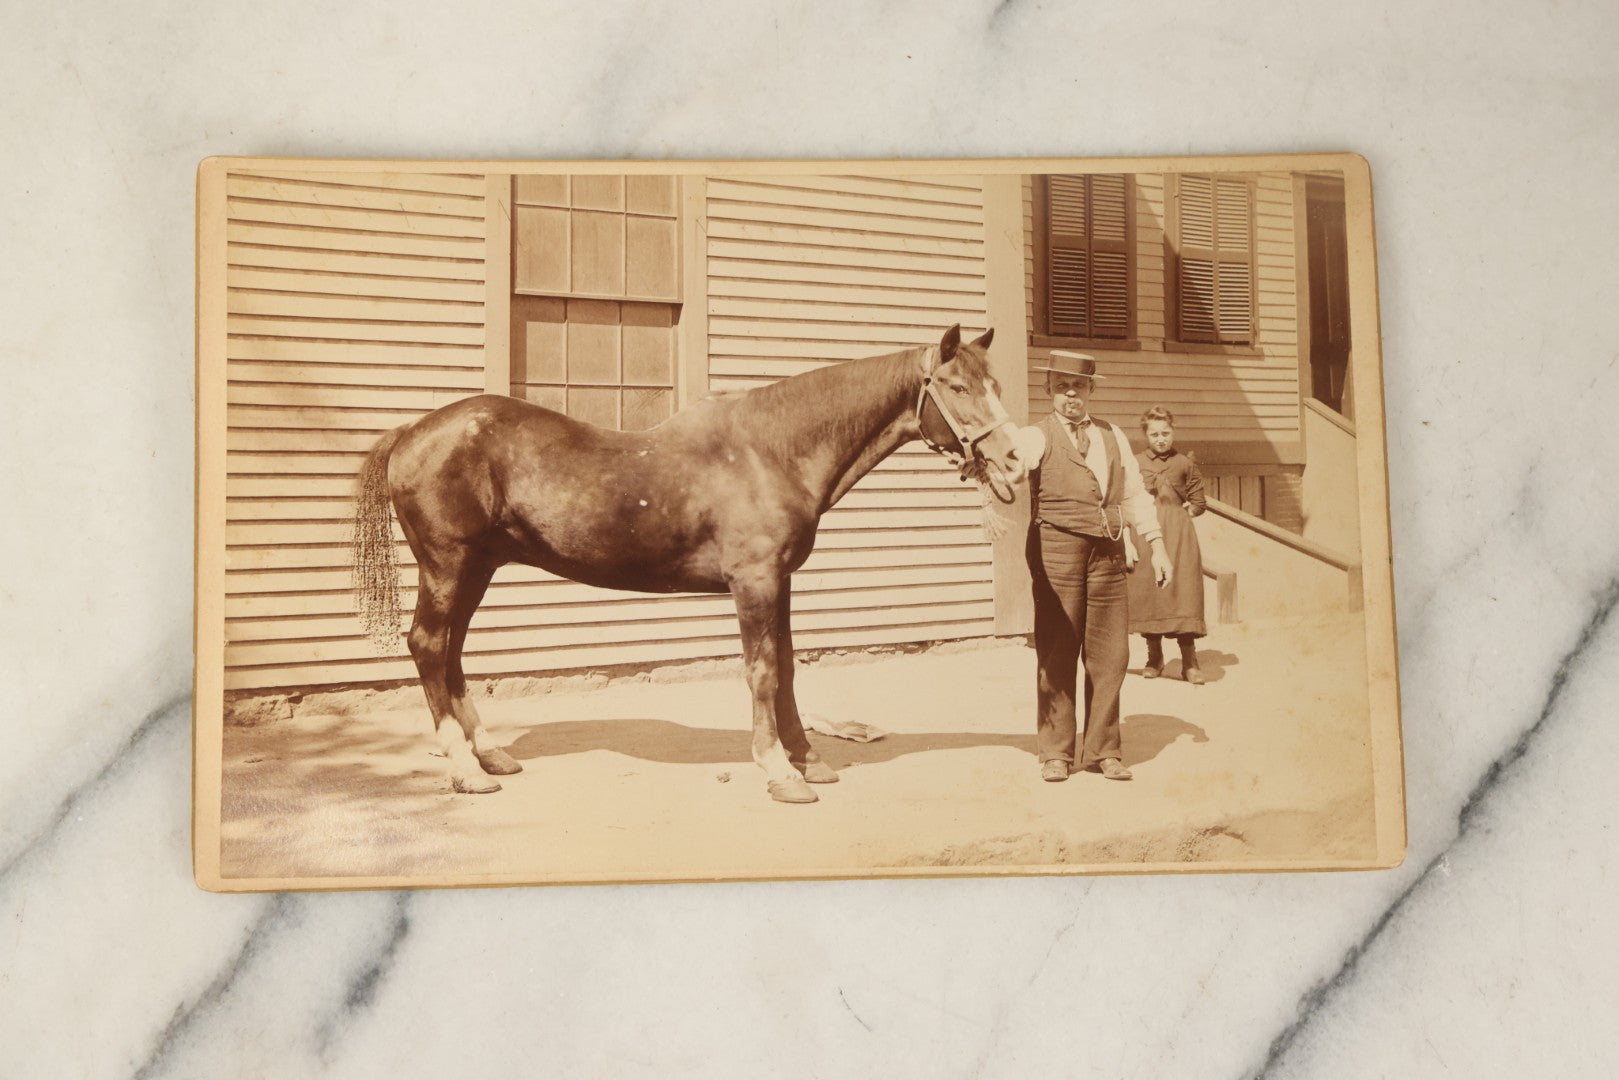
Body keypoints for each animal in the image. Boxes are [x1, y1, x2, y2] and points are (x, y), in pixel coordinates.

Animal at [351, 324, 1025, 803]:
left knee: (452, 651)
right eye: (958, 388)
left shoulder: (780, 582)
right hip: (448, 565)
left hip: (478, 568)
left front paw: (808, 759)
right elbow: (762, 672)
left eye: (996, 386)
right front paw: (780, 772)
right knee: (429, 644)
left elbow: (787, 668)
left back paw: (489, 754)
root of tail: (412, 431)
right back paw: (466, 769)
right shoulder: (753, 582)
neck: (771, 450)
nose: (1017, 462)